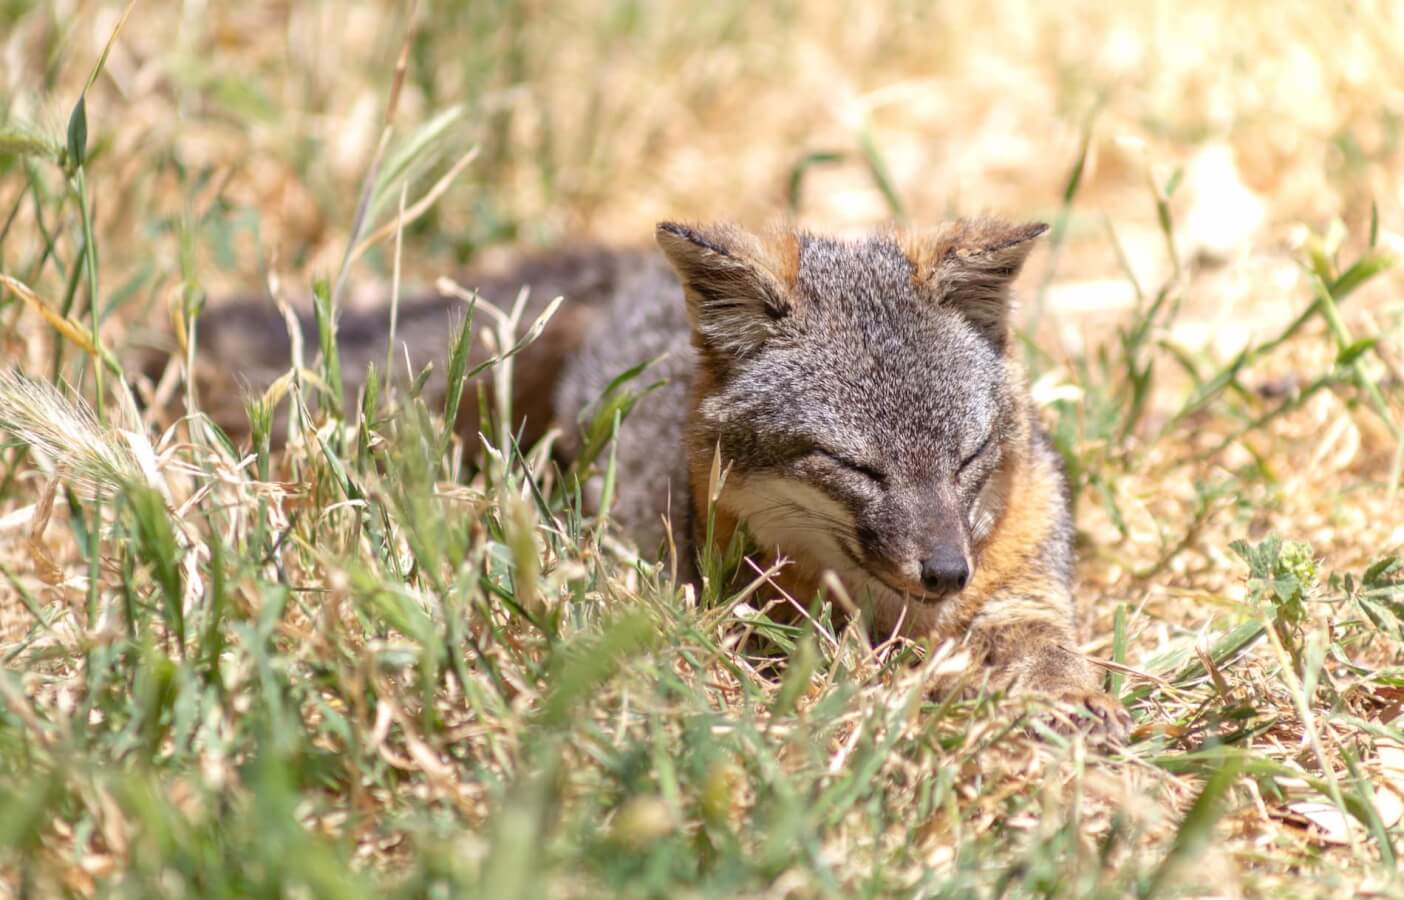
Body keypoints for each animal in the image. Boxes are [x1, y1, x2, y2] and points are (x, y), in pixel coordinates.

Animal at [164, 217, 1128, 735]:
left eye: (967, 457)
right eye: (855, 465)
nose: (946, 571)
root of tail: (629, 274)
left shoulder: (1022, 583)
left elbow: (1043, 640)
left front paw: (1074, 698)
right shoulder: (755, 621)